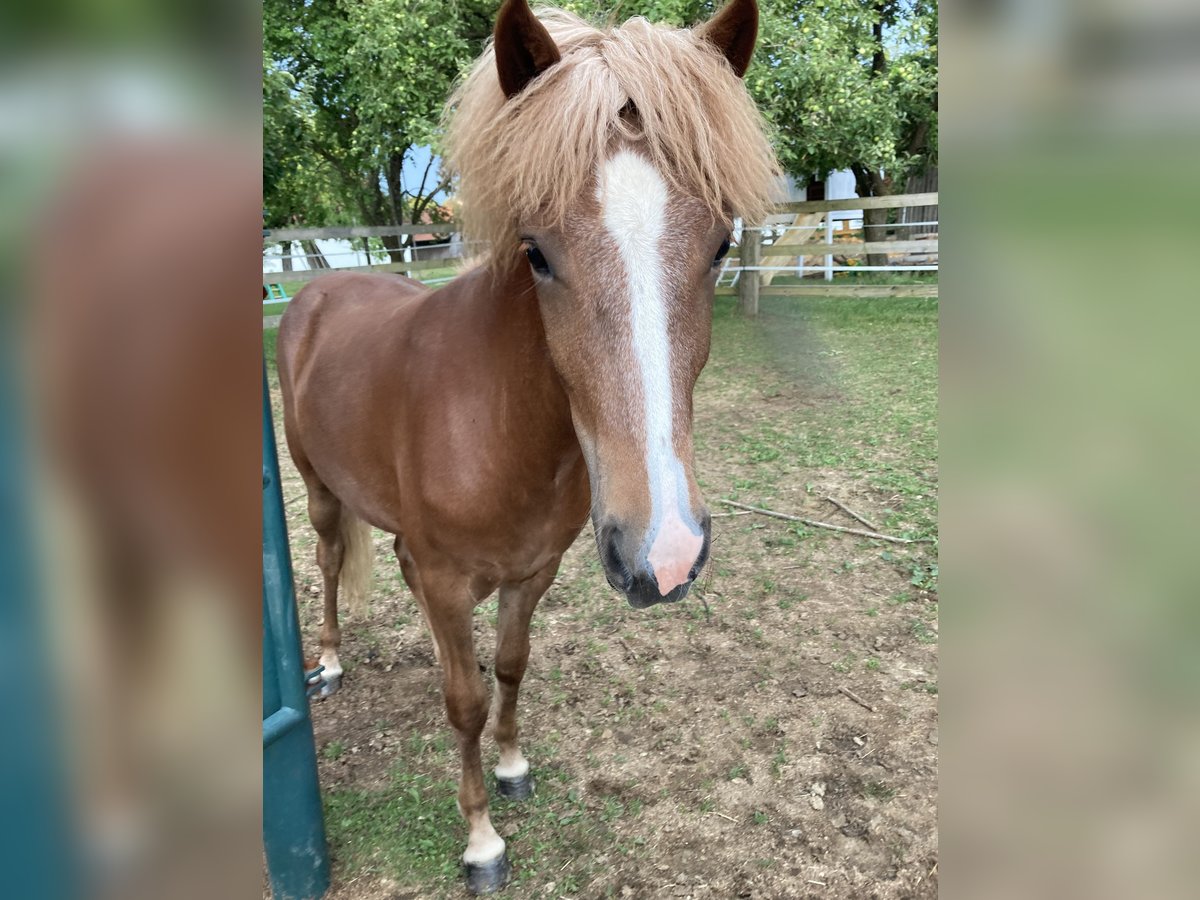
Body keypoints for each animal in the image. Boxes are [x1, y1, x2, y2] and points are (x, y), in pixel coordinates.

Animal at [276, 0, 772, 888]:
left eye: (721, 246)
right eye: (537, 252)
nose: (666, 551)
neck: (499, 425)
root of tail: (317, 290)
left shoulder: (532, 571)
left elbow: (509, 667)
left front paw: (510, 767)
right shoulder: (446, 580)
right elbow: (464, 700)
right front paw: (481, 839)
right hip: (322, 493)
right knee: (330, 562)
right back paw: (327, 663)